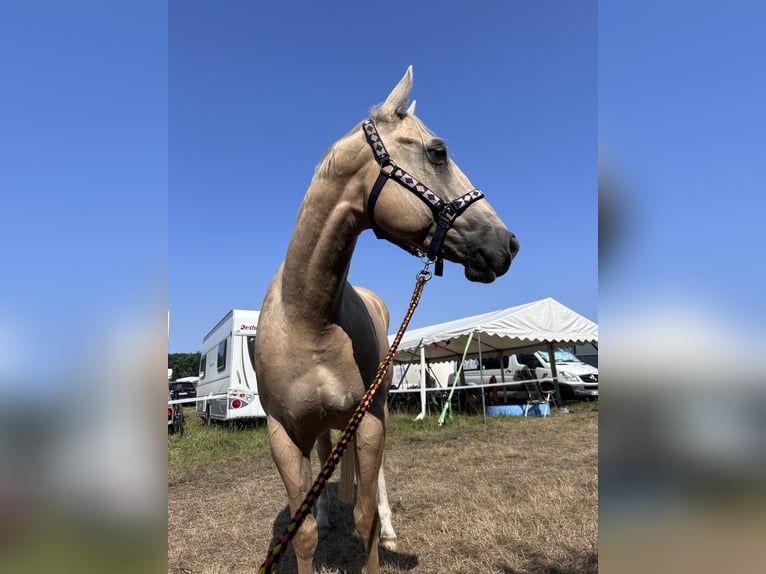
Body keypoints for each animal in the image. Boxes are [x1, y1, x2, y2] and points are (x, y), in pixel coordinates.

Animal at [254, 66, 519, 574]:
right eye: (438, 151)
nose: (507, 243)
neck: (309, 316)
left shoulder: (371, 421)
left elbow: (365, 519)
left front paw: (380, 533)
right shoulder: (283, 435)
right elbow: (303, 533)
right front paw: (317, 521)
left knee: (374, 484)